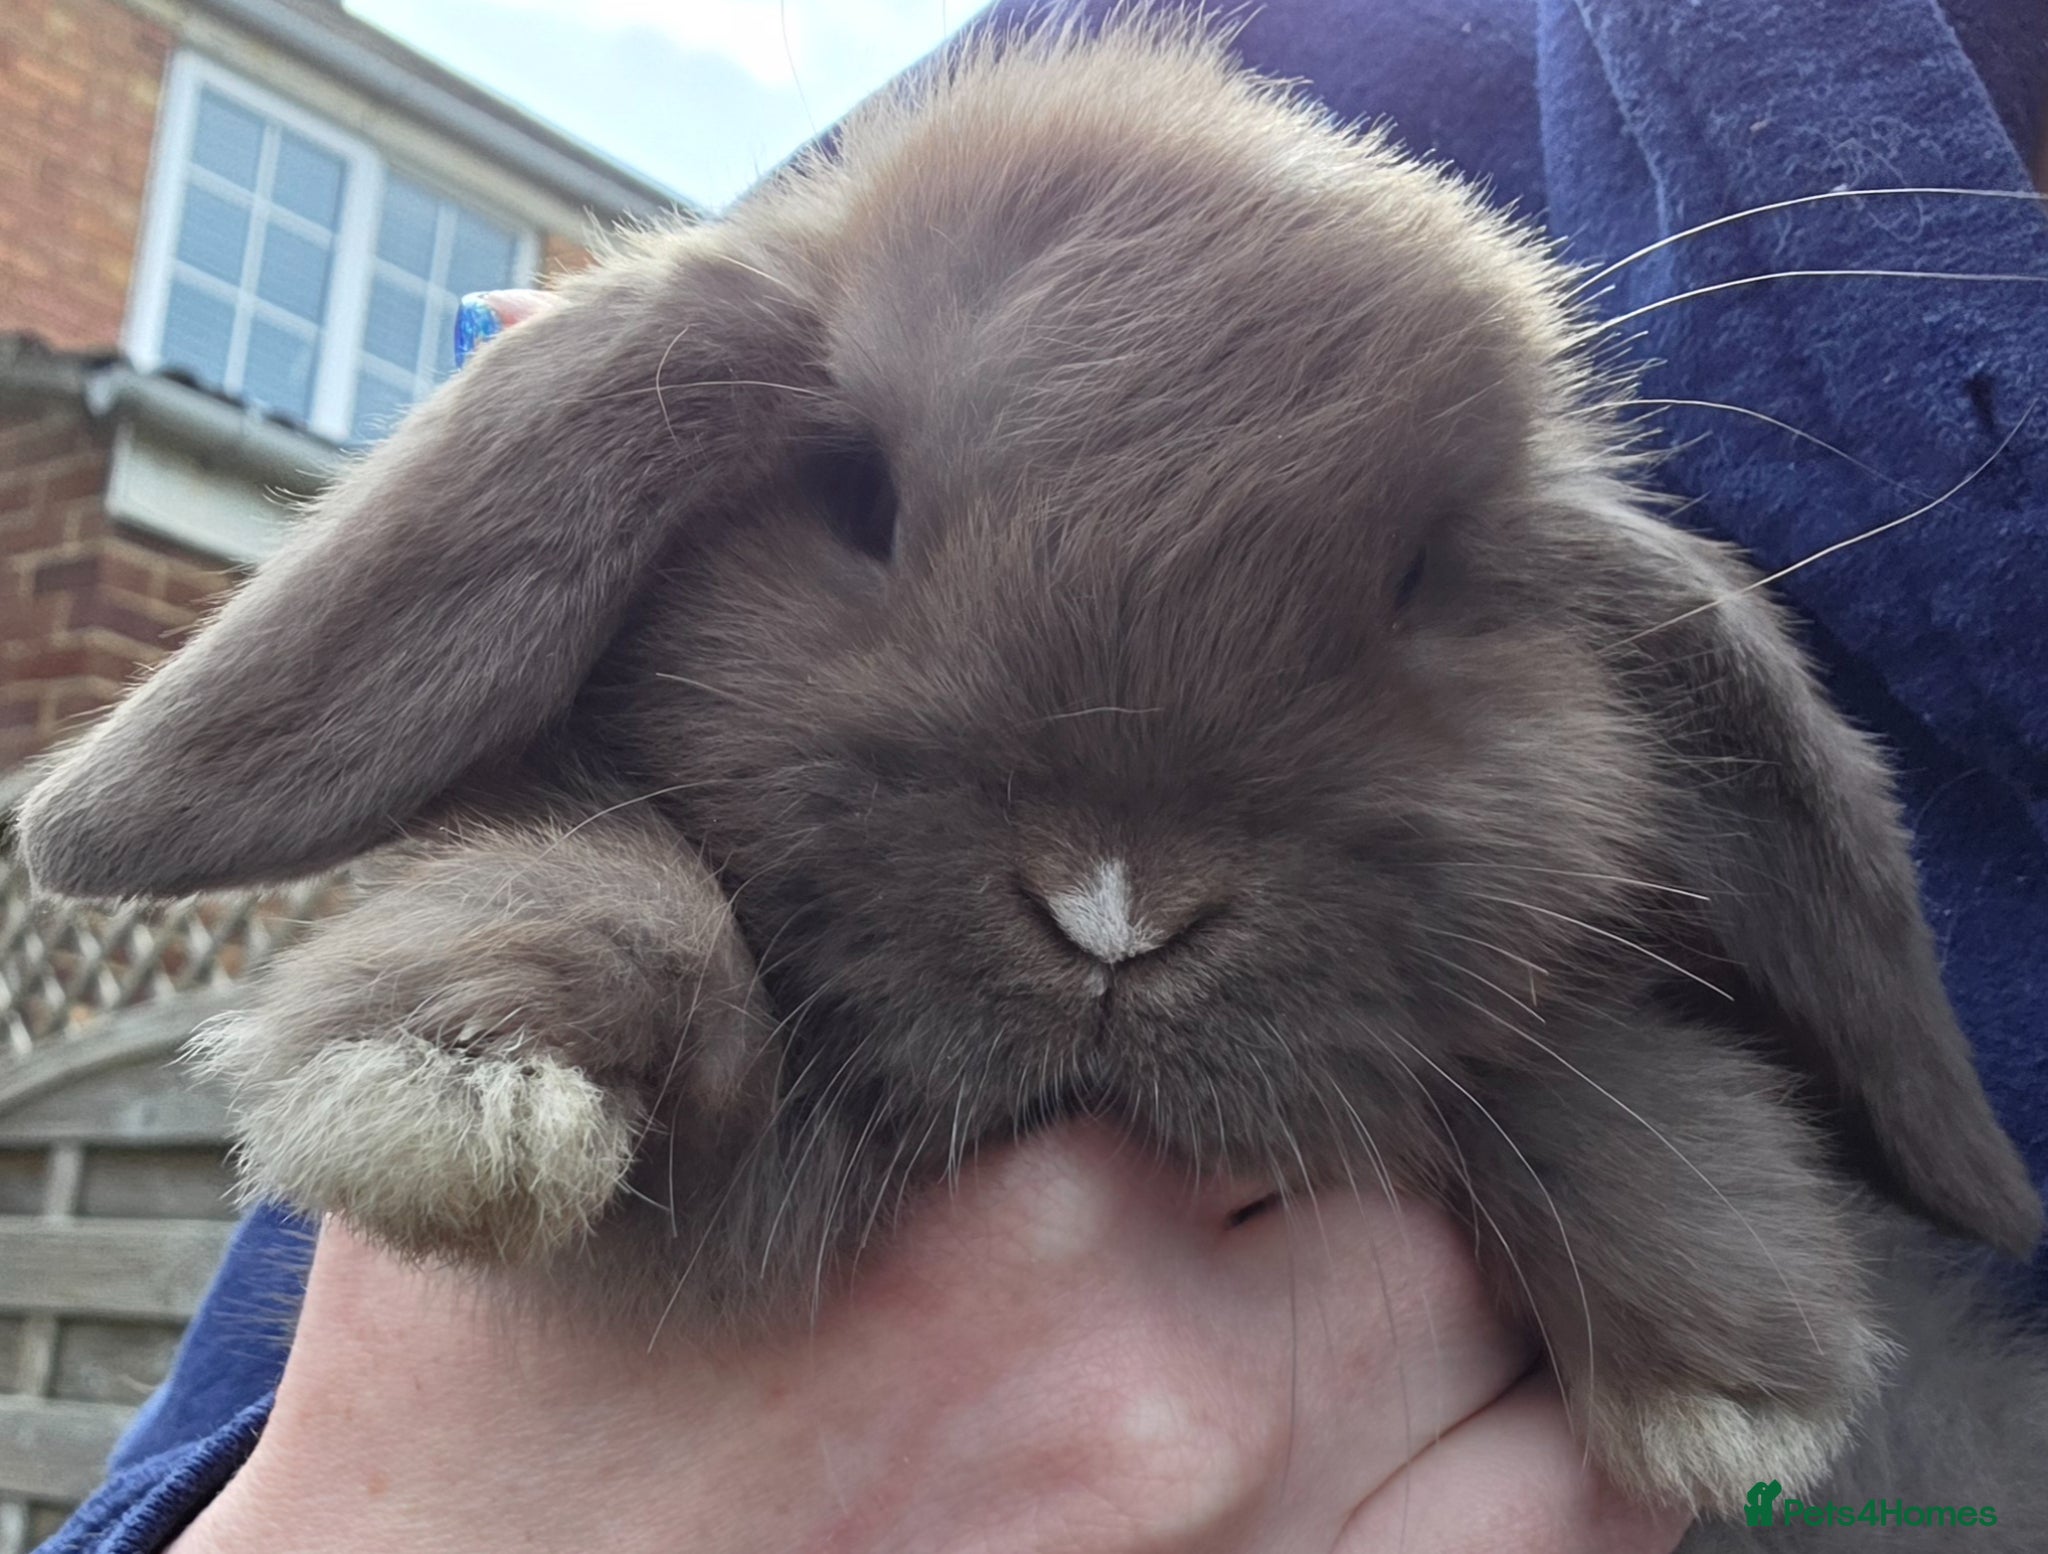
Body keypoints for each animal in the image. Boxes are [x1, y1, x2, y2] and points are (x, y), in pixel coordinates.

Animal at [16, 17, 2048, 1538]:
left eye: (1428, 579)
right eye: (859, 500)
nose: (1115, 904)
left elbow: (1573, 1051)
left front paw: (1731, 1365)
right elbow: (603, 883)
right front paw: (450, 1074)